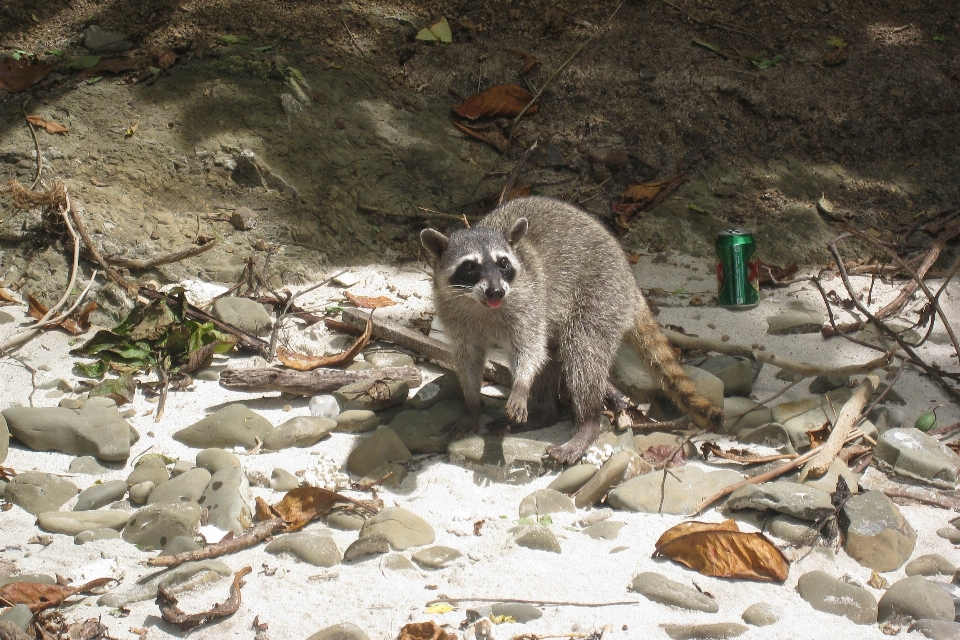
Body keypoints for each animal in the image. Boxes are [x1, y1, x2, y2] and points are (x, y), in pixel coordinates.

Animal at [420, 195, 720, 460]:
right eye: (470, 267)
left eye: (503, 263)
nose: (496, 291)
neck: (480, 304)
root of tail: (629, 277)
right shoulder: (453, 314)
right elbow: (468, 357)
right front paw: (472, 404)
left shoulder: (529, 303)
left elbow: (530, 351)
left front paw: (521, 385)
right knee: (553, 355)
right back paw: (546, 413)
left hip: (602, 294)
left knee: (581, 352)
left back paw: (588, 422)